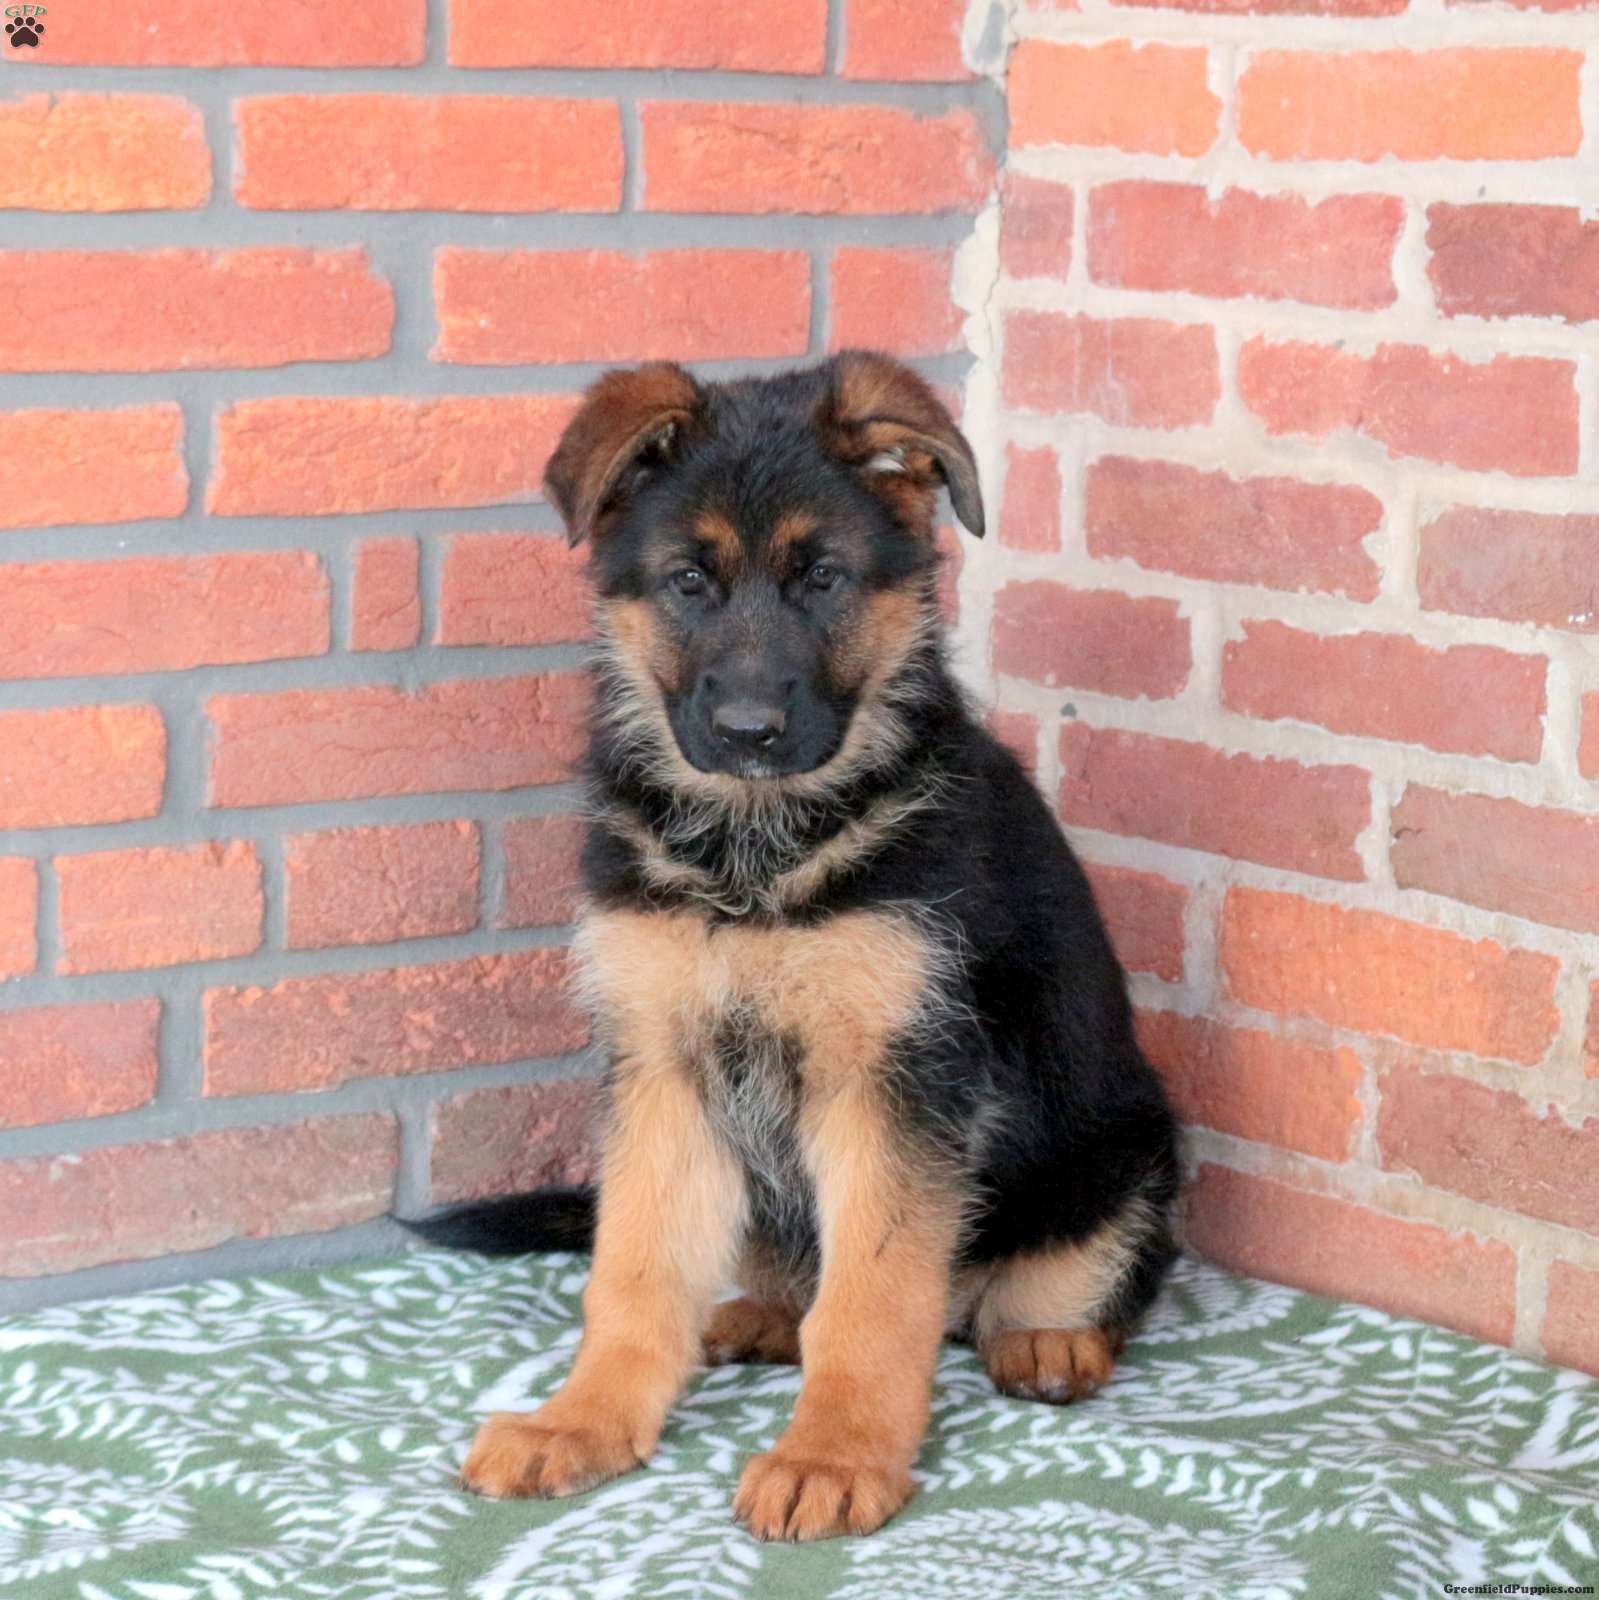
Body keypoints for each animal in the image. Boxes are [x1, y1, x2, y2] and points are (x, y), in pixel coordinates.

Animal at [410, 351, 1180, 1542]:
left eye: (823, 580)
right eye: (689, 581)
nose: (749, 733)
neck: (755, 851)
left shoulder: (897, 1081)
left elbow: (873, 1298)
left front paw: (834, 1452)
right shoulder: (663, 1068)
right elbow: (631, 1270)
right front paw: (583, 1422)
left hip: (1124, 1155)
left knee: (1063, 1281)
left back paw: (1047, 1340)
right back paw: (756, 1316)